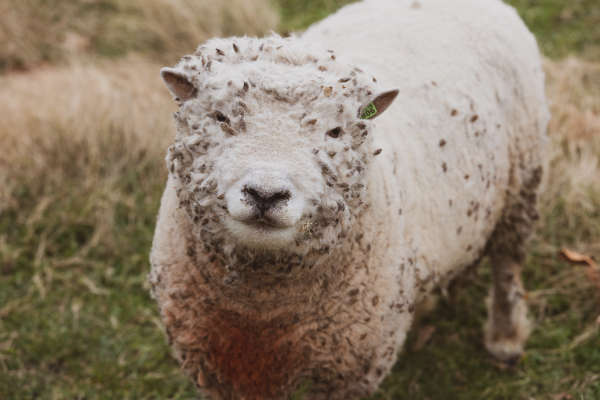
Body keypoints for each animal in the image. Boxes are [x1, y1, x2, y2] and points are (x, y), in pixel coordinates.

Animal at [150, 0, 548, 396]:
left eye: (335, 131)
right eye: (220, 117)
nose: (266, 194)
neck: (260, 309)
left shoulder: (352, 367)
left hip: (523, 183)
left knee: (507, 266)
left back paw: (505, 339)